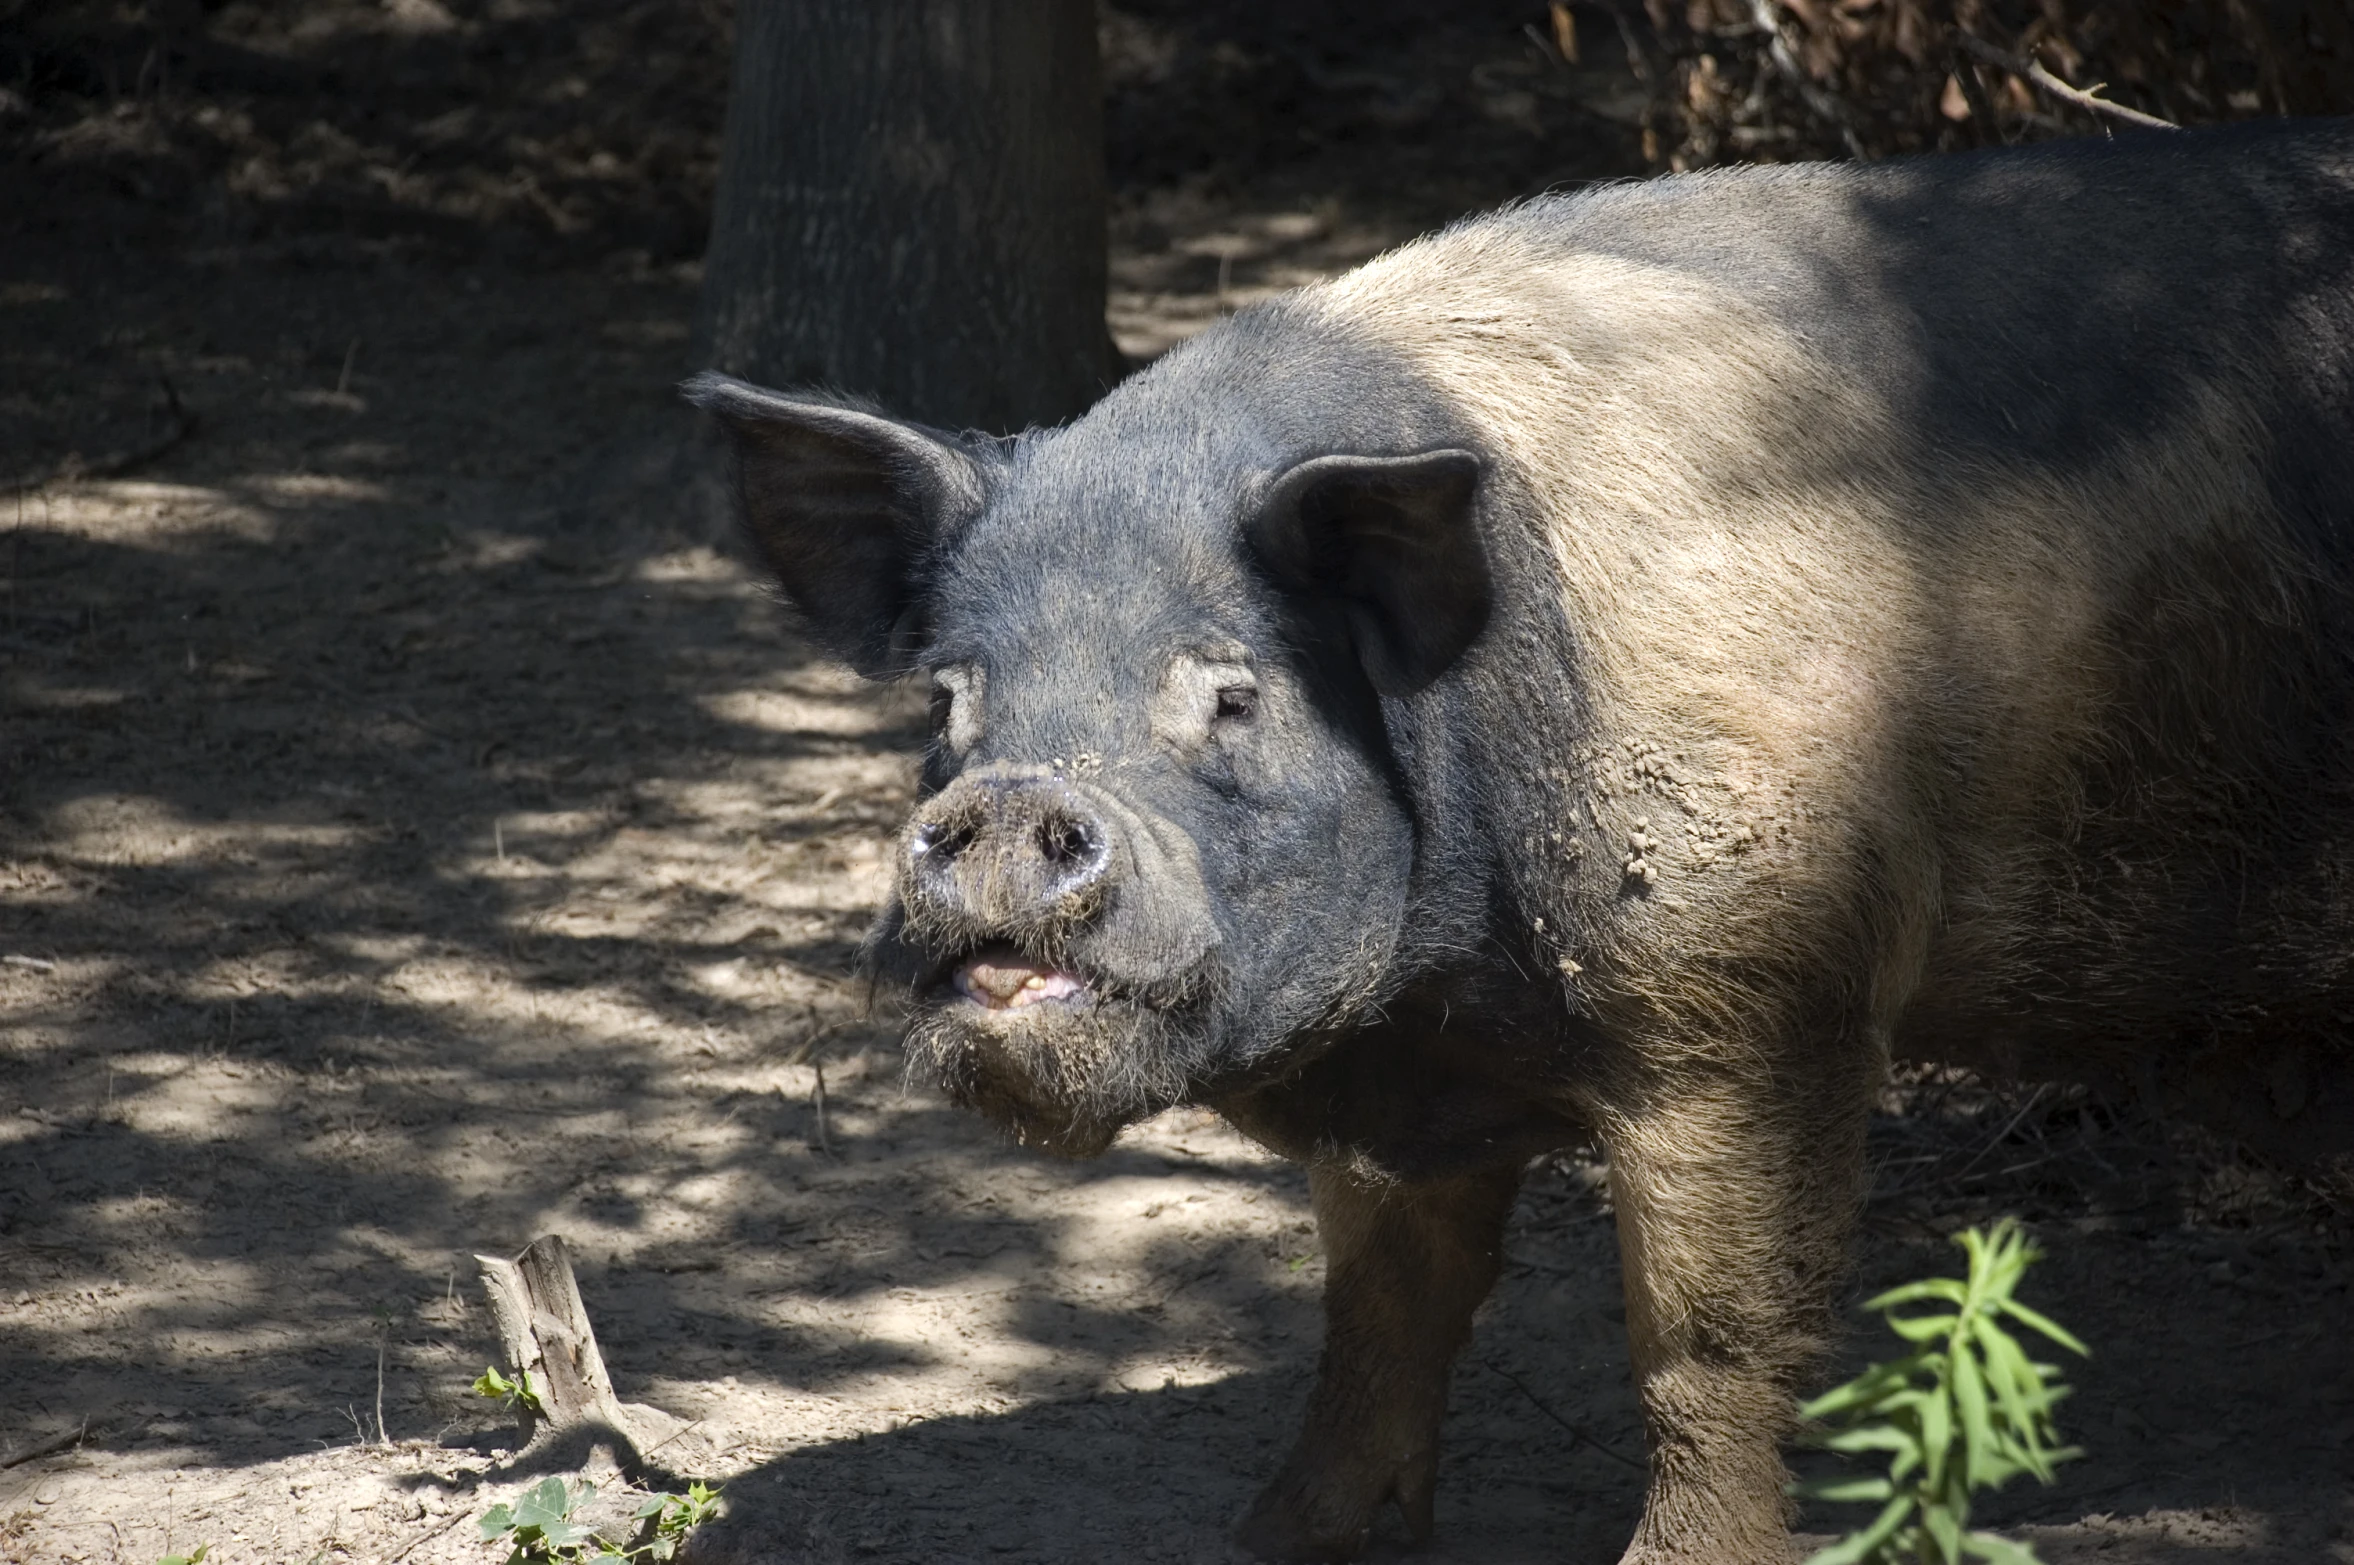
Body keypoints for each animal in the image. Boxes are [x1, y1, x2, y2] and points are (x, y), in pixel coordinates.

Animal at [682, 125, 2354, 1562]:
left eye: (1230, 690)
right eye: (951, 695)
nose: (1009, 805)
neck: (1447, 995)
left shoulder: (1754, 992)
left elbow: (1710, 1333)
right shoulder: (1408, 1082)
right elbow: (1381, 1311)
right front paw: (1279, 1539)